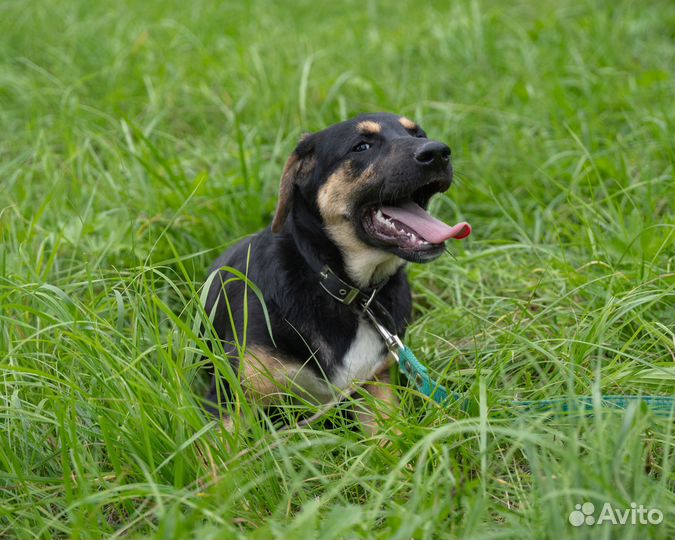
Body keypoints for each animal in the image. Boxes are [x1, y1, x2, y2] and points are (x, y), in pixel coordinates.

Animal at [203, 112, 472, 432]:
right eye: (361, 146)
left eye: (418, 134)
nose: (438, 152)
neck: (347, 291)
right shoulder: (230, 399)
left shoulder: (374, 385)